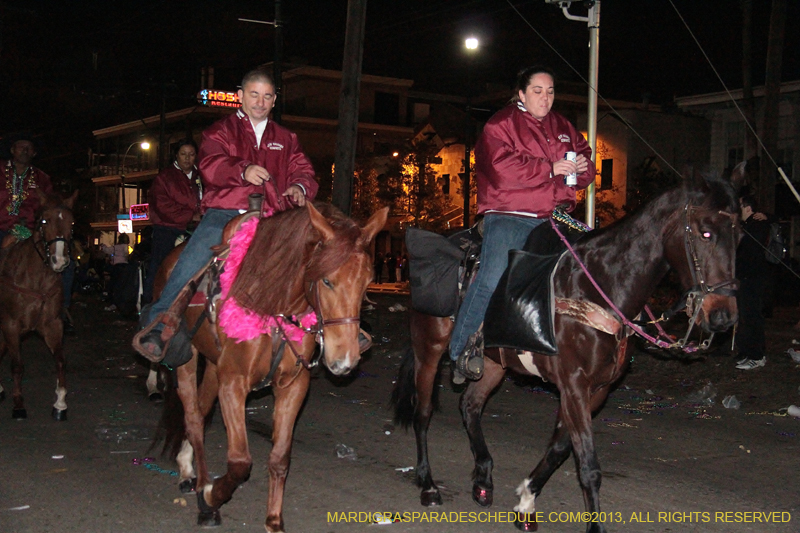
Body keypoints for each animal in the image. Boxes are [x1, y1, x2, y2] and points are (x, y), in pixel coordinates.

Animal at [0, 191, 77, 420]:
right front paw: (18, 405)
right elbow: (17, 365)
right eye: (44, 221)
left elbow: (60, 360)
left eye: (72, 222)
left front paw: (60, 403)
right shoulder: (11, 325)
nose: (59, 260)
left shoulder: (53, 325)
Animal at [157, 201, 388, 532]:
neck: (274, 303)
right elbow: (240, 461)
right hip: (188, 357)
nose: (345, 361)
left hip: (214, 365)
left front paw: (274, 520)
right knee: (192, 417)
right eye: (326, 280)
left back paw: (188, 467)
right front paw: (212, 495)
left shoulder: (292, 385)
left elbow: (279, 457)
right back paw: (201, 489)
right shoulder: (233, 383)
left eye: (367, 282)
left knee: (200, 411)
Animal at [390, 176, 740, 532]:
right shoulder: (574, 385)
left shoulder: (596, 389)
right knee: (423, 412)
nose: (723, 316)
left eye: (738, 235)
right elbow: (588, 465)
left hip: (493, 362)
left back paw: (483, 479)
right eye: (705, 232)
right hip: (429, 350)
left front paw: (526, 500)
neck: (600, 285)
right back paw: (428, 484)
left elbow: (559, 448)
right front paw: (594, 526)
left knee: (470, 405)